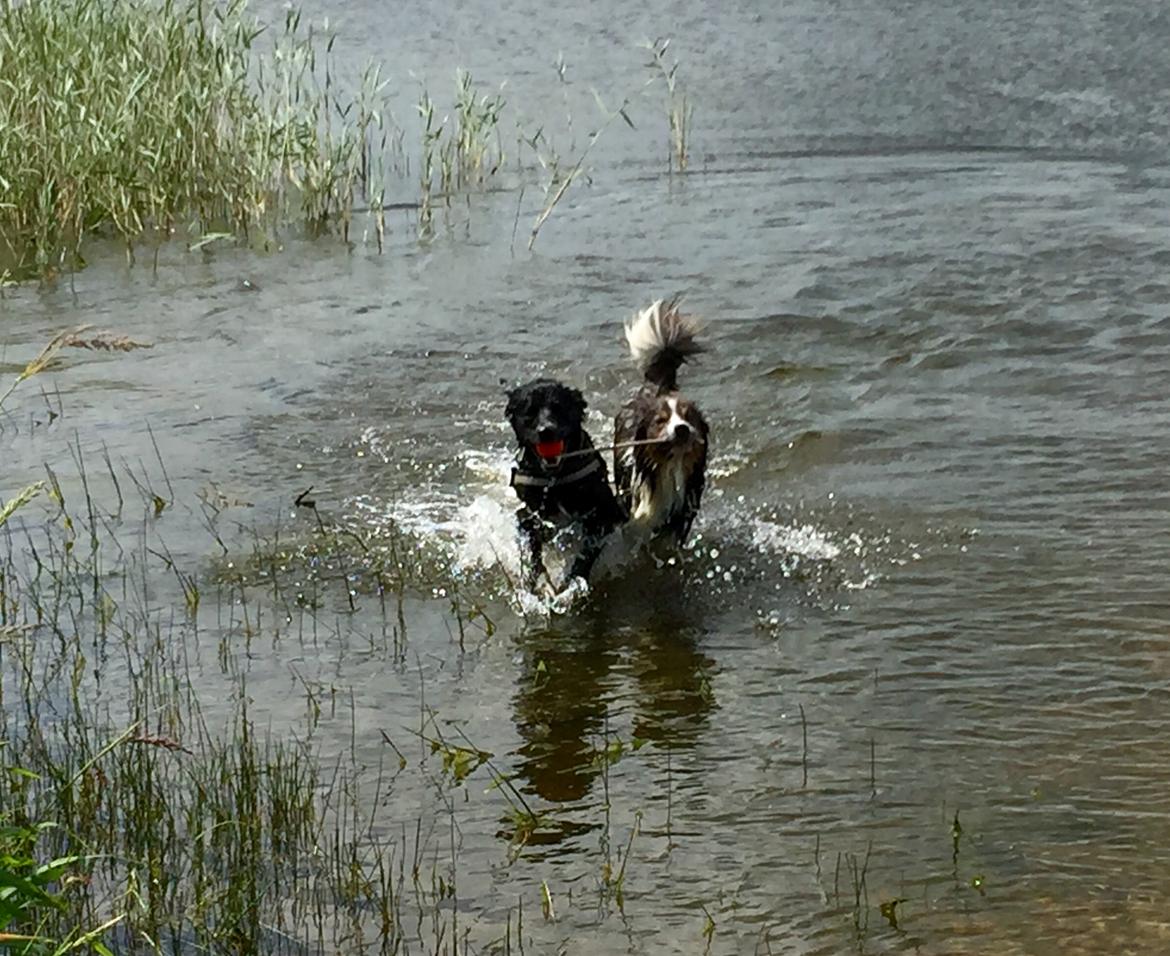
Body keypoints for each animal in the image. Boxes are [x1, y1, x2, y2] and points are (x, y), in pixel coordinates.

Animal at [505, 379, 627, 589]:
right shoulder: (527, 515)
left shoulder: (605, 512)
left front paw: (573, 581)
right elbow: (530, 548)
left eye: (558, 408)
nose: (546, 430)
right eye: (530, 412)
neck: (555, 480)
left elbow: (586, 552)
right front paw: (533, 580)